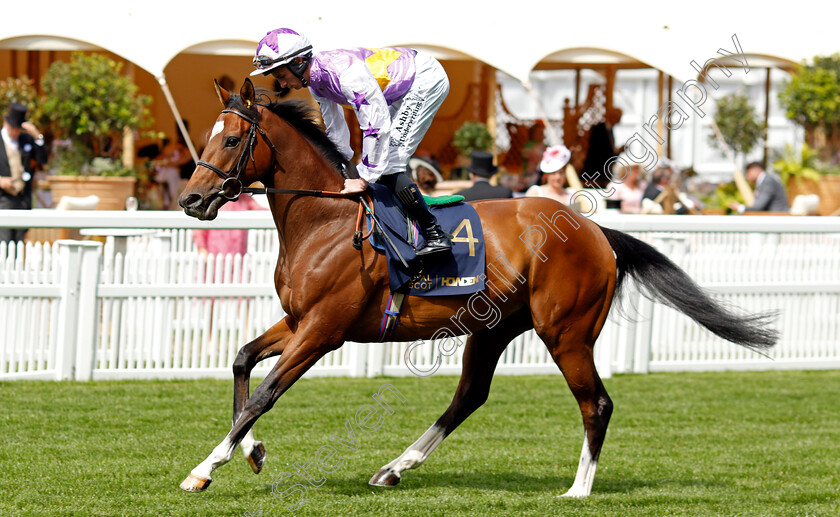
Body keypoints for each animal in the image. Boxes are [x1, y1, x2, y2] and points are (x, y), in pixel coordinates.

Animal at [176, 79, 776, 496]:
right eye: (207, 137)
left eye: (233, 139)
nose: (191, 199)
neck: (324, 219)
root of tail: (594, 230)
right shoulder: (300, 321)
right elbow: (242, 360)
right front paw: (250, 452)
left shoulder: (324, 330)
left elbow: (265, 393)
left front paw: (203, 468)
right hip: (493, 328)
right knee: (470, 395)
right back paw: (395, 468)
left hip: (566, 332)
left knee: (596, 403)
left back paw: (578, 488)